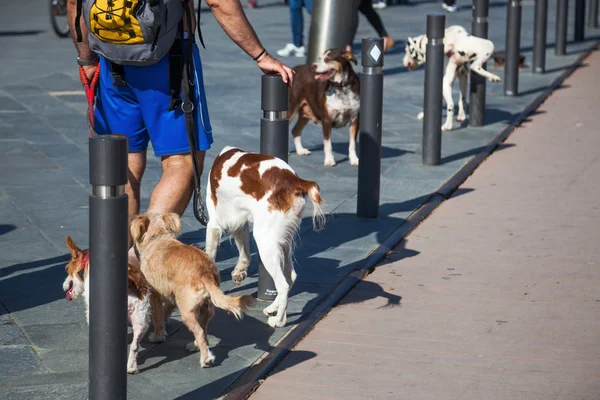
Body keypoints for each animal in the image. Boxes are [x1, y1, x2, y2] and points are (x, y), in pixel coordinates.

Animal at [61, 236, 152, 374]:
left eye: (67, 269)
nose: (63, 286)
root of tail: (129, 281)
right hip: (141, 320)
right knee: (134, 346)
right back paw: (131, 367)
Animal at [130, 212, 254, 368]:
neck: (159, 237)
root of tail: (205, 273)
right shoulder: (171, 296)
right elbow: (166, 310)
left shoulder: (155, 295)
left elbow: (158, 317)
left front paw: (158, 336)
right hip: (206, 309)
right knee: (204, 331)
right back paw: (194, 346)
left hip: (187, 312)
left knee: (200, 332)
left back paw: (206, 359)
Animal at [206, 147, 328, 328]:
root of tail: (294, 180)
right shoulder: (240, 222)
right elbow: (244, 251)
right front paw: (240, 271)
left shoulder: (214, 224)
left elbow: (209, 257)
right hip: (282, 241)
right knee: (290, 277)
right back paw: (273, 309)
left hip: (265, 241)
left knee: (283, 285)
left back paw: (278, 320)